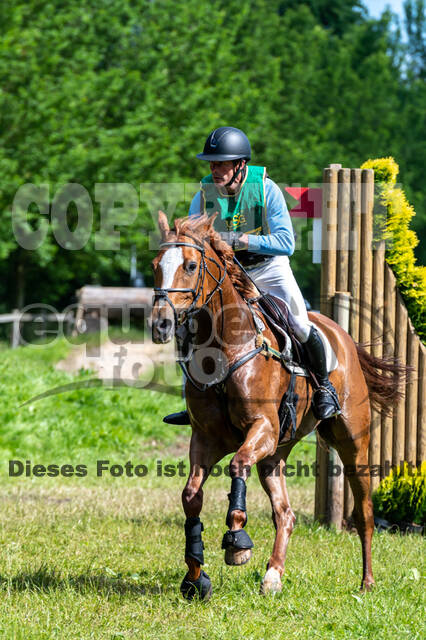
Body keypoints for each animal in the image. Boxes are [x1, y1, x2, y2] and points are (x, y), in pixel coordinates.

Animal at [151, 211, 403, 600]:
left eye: (191, 266)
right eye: (155, 266)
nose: (161, 324)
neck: (226, 348)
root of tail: (342, 335)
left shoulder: (262, 429)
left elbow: (237, 466)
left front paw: (237, 541)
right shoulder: (207, 440)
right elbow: (192, 496)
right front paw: (195, 577)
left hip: (351, 444)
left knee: (363, 511)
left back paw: (367, 582)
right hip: (275, 455)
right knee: (285, 514)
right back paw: (272, 576)